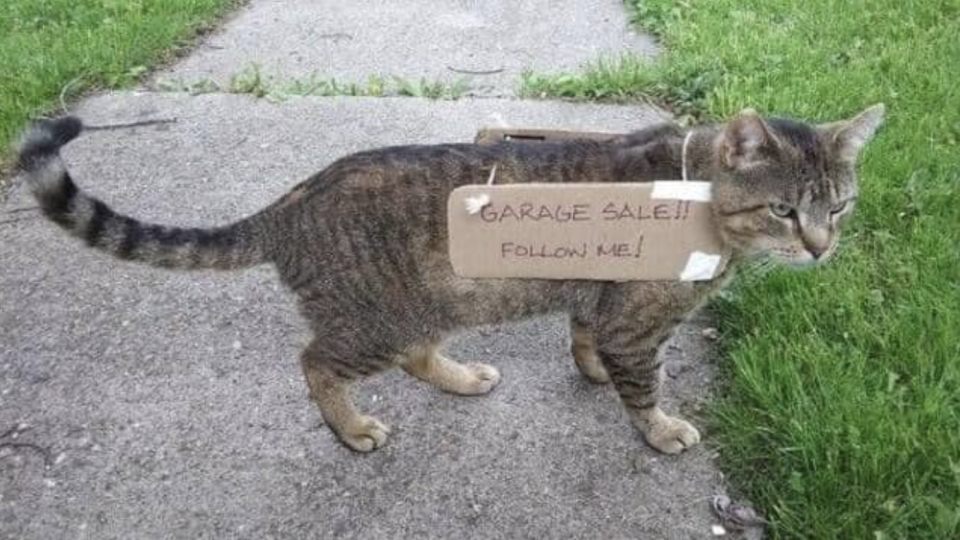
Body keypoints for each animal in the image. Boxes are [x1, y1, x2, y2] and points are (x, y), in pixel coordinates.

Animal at [15, 105, 884, 452]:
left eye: (839, 206)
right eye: (783, 210)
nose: (820, 248)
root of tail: (291, 201)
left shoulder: (596, 298)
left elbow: (586, 337)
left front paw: (593, 370)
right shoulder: (638, 320)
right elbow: (645, 386)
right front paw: (661, 427)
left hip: (428, 304)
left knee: (414, 355)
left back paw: (461, 378)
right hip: (376, 318)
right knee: (316, 363)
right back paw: (352, 427)